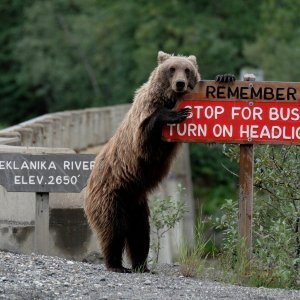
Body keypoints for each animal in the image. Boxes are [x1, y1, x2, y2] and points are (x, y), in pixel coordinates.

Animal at [84, 50, 200, 274]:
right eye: (172, 69)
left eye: (187, 69)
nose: (180, 83)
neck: (168, 98)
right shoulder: (143, 119)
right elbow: (145, 142)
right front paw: (174, 114)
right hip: (111, 195)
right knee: (113, 229)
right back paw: (116, 264)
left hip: (137, 205)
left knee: (140, 234)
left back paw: (142, 266)